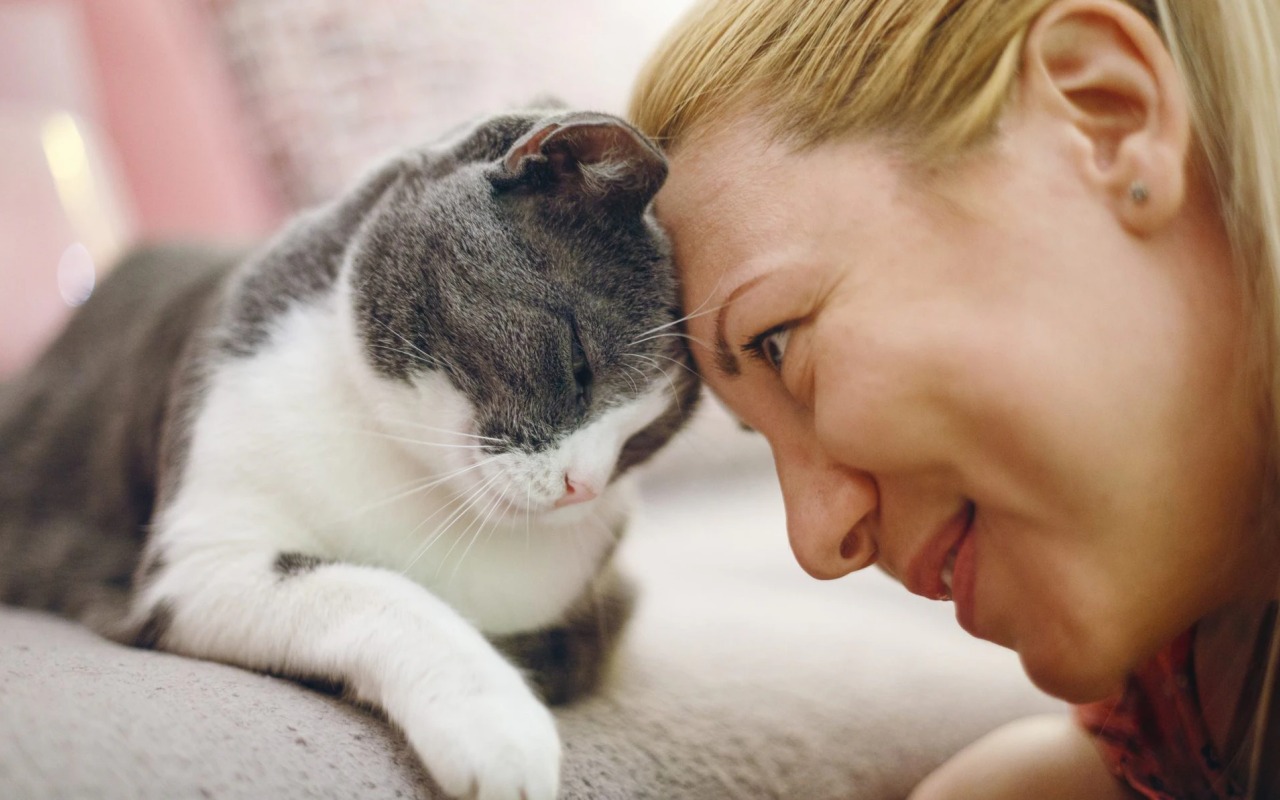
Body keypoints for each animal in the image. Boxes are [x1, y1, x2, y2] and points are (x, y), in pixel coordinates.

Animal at [0, 107, 701, 798]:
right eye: (580, 365)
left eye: (643, 441)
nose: (584, 486)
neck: (413, 476)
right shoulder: (200, 562)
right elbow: (376, 591)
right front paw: (498, 725)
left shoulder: (604, 599)